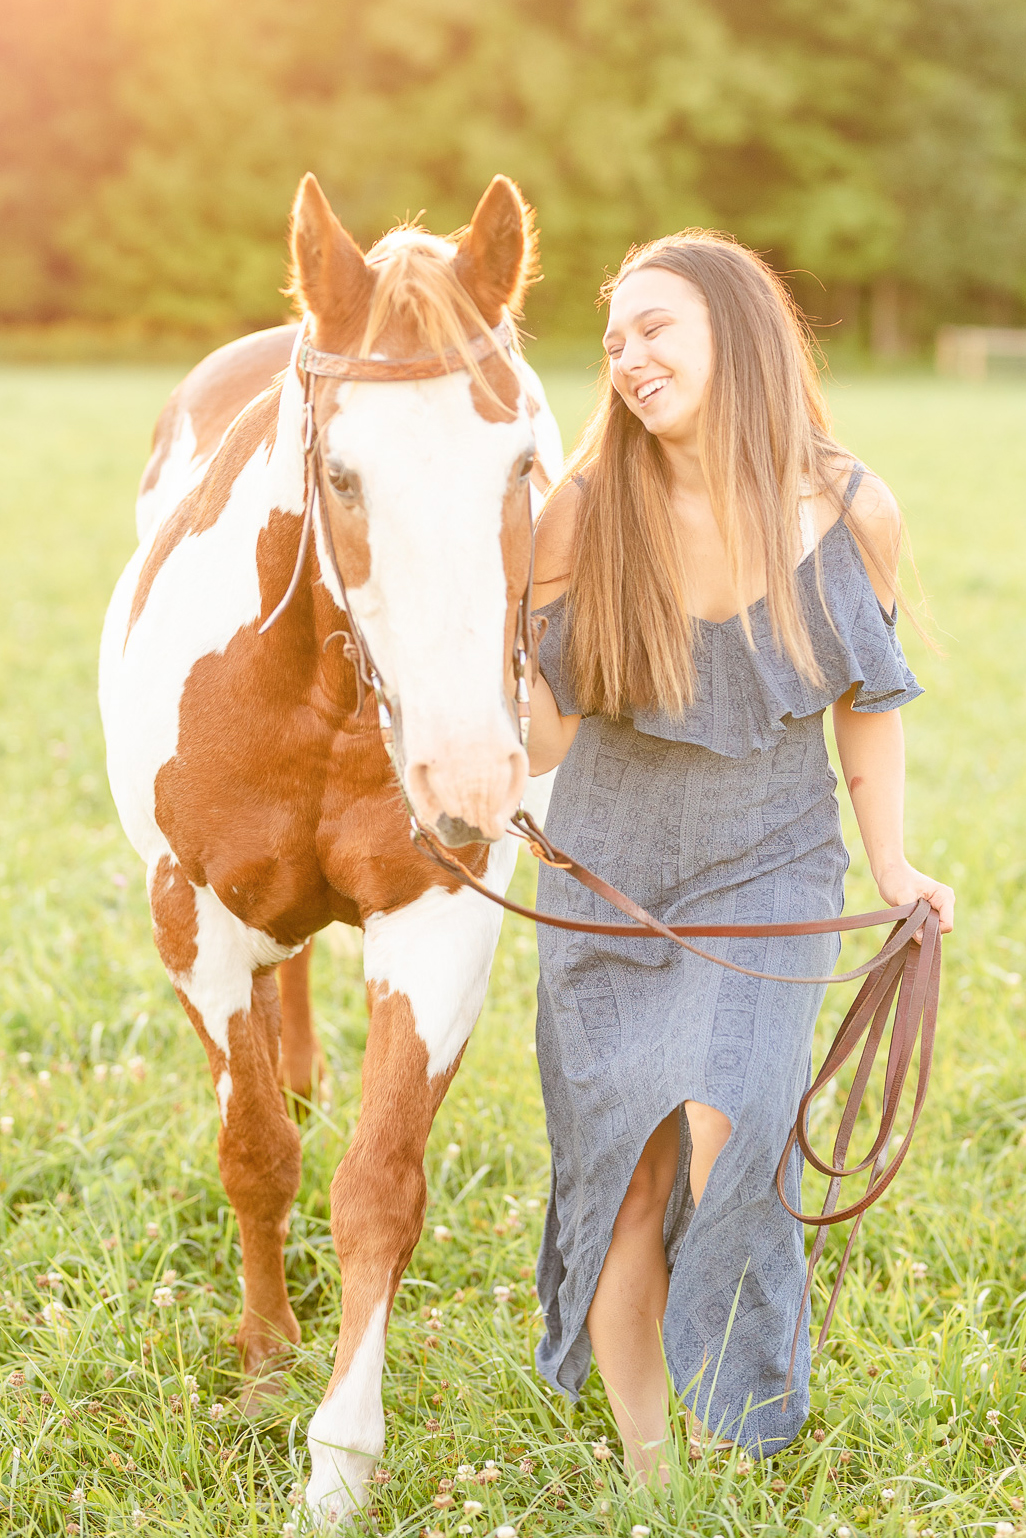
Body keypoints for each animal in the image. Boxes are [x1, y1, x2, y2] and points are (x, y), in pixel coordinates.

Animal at [99, 171, 563, 1523]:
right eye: (344, 476)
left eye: (524, 460)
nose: (470, 773)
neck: (316, 691)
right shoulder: (190, 912)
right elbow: (257, 1151)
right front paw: (264, 1364)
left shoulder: (441, 919)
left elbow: (378, 1182)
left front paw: (339, 1456)